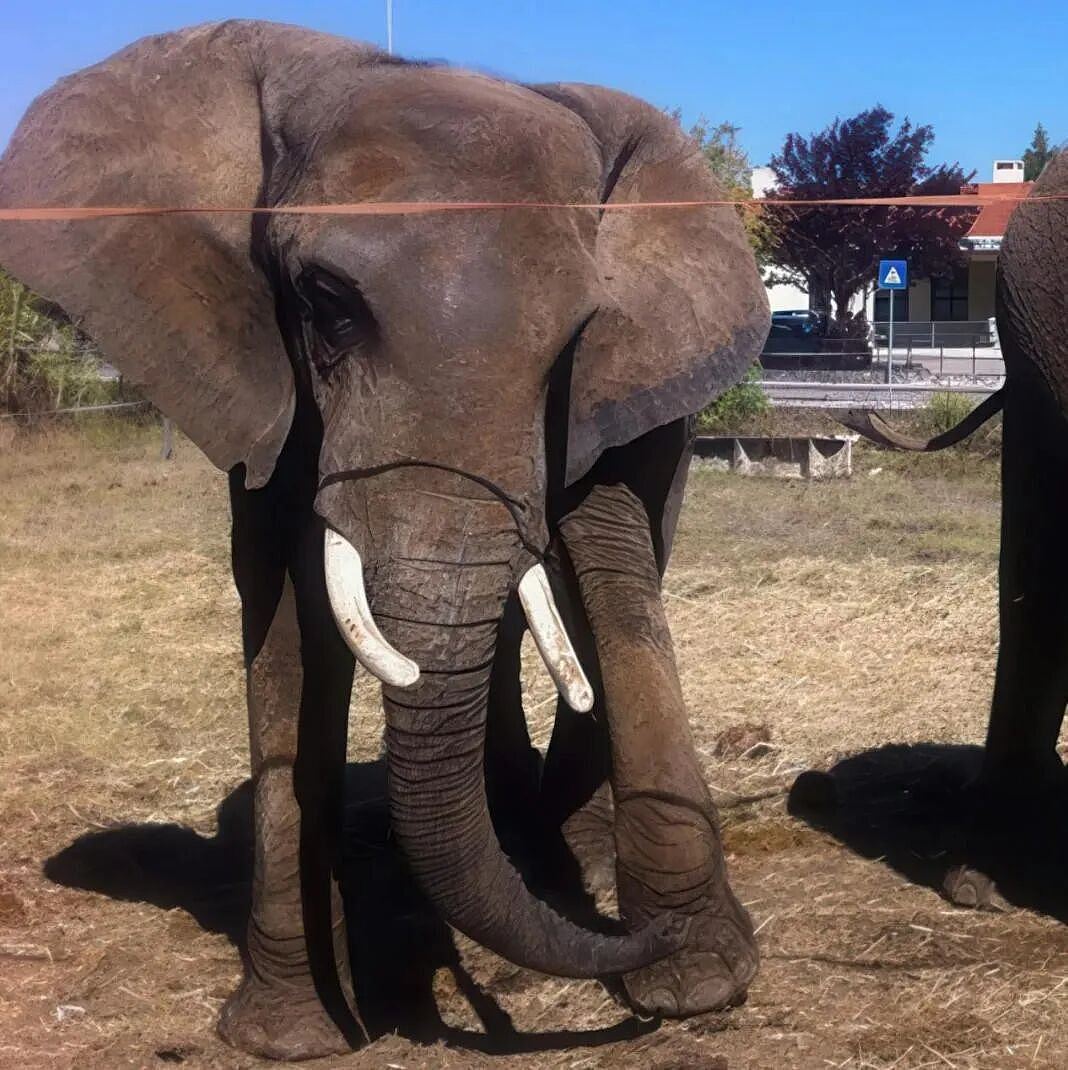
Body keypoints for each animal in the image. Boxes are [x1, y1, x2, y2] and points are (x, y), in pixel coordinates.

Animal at [0, 20, 770, 1060]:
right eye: (326, 304)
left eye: (575, 335)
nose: (638, 943)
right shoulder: (264, 378)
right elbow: (285, 611)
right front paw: (293, 1038)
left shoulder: (613, 380)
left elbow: (607, 559)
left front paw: (696, 980)